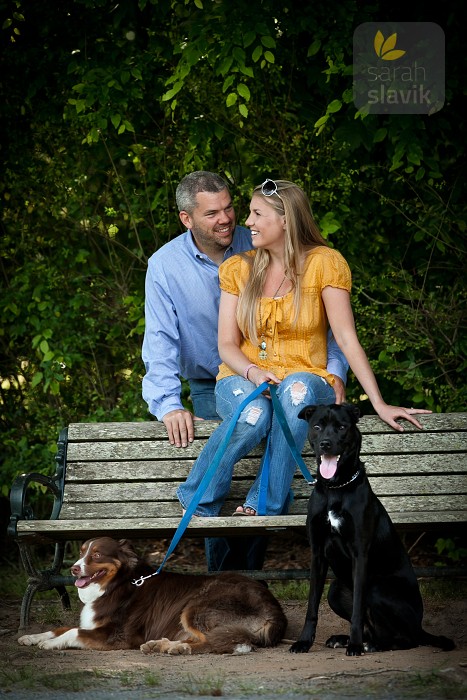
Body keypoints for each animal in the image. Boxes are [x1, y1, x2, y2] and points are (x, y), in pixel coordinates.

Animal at [17, 536, 288, 656]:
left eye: (96, 555)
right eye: (82, 552)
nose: (73, 569)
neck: (119, 584)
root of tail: (276, 613)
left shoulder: (119, 635)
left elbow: (72, 631)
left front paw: (50, 643)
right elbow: (59, 627)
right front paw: (31, 636)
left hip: (196, 608)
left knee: (222, 643)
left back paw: (177, 648)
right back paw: (161, 644)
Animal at [290, 404, 456, 656]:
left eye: (341, 427)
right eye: (317, 426)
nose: (326, 444)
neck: (336, 488)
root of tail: (420, 626)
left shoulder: (360, 554)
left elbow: (358, 608)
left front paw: (355, 645)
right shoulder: (317, 554)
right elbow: (312, 606)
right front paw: (304, 642)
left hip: (377, 589)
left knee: (407, 639)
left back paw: (370, 644)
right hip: (335, 590)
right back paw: (346, 639)